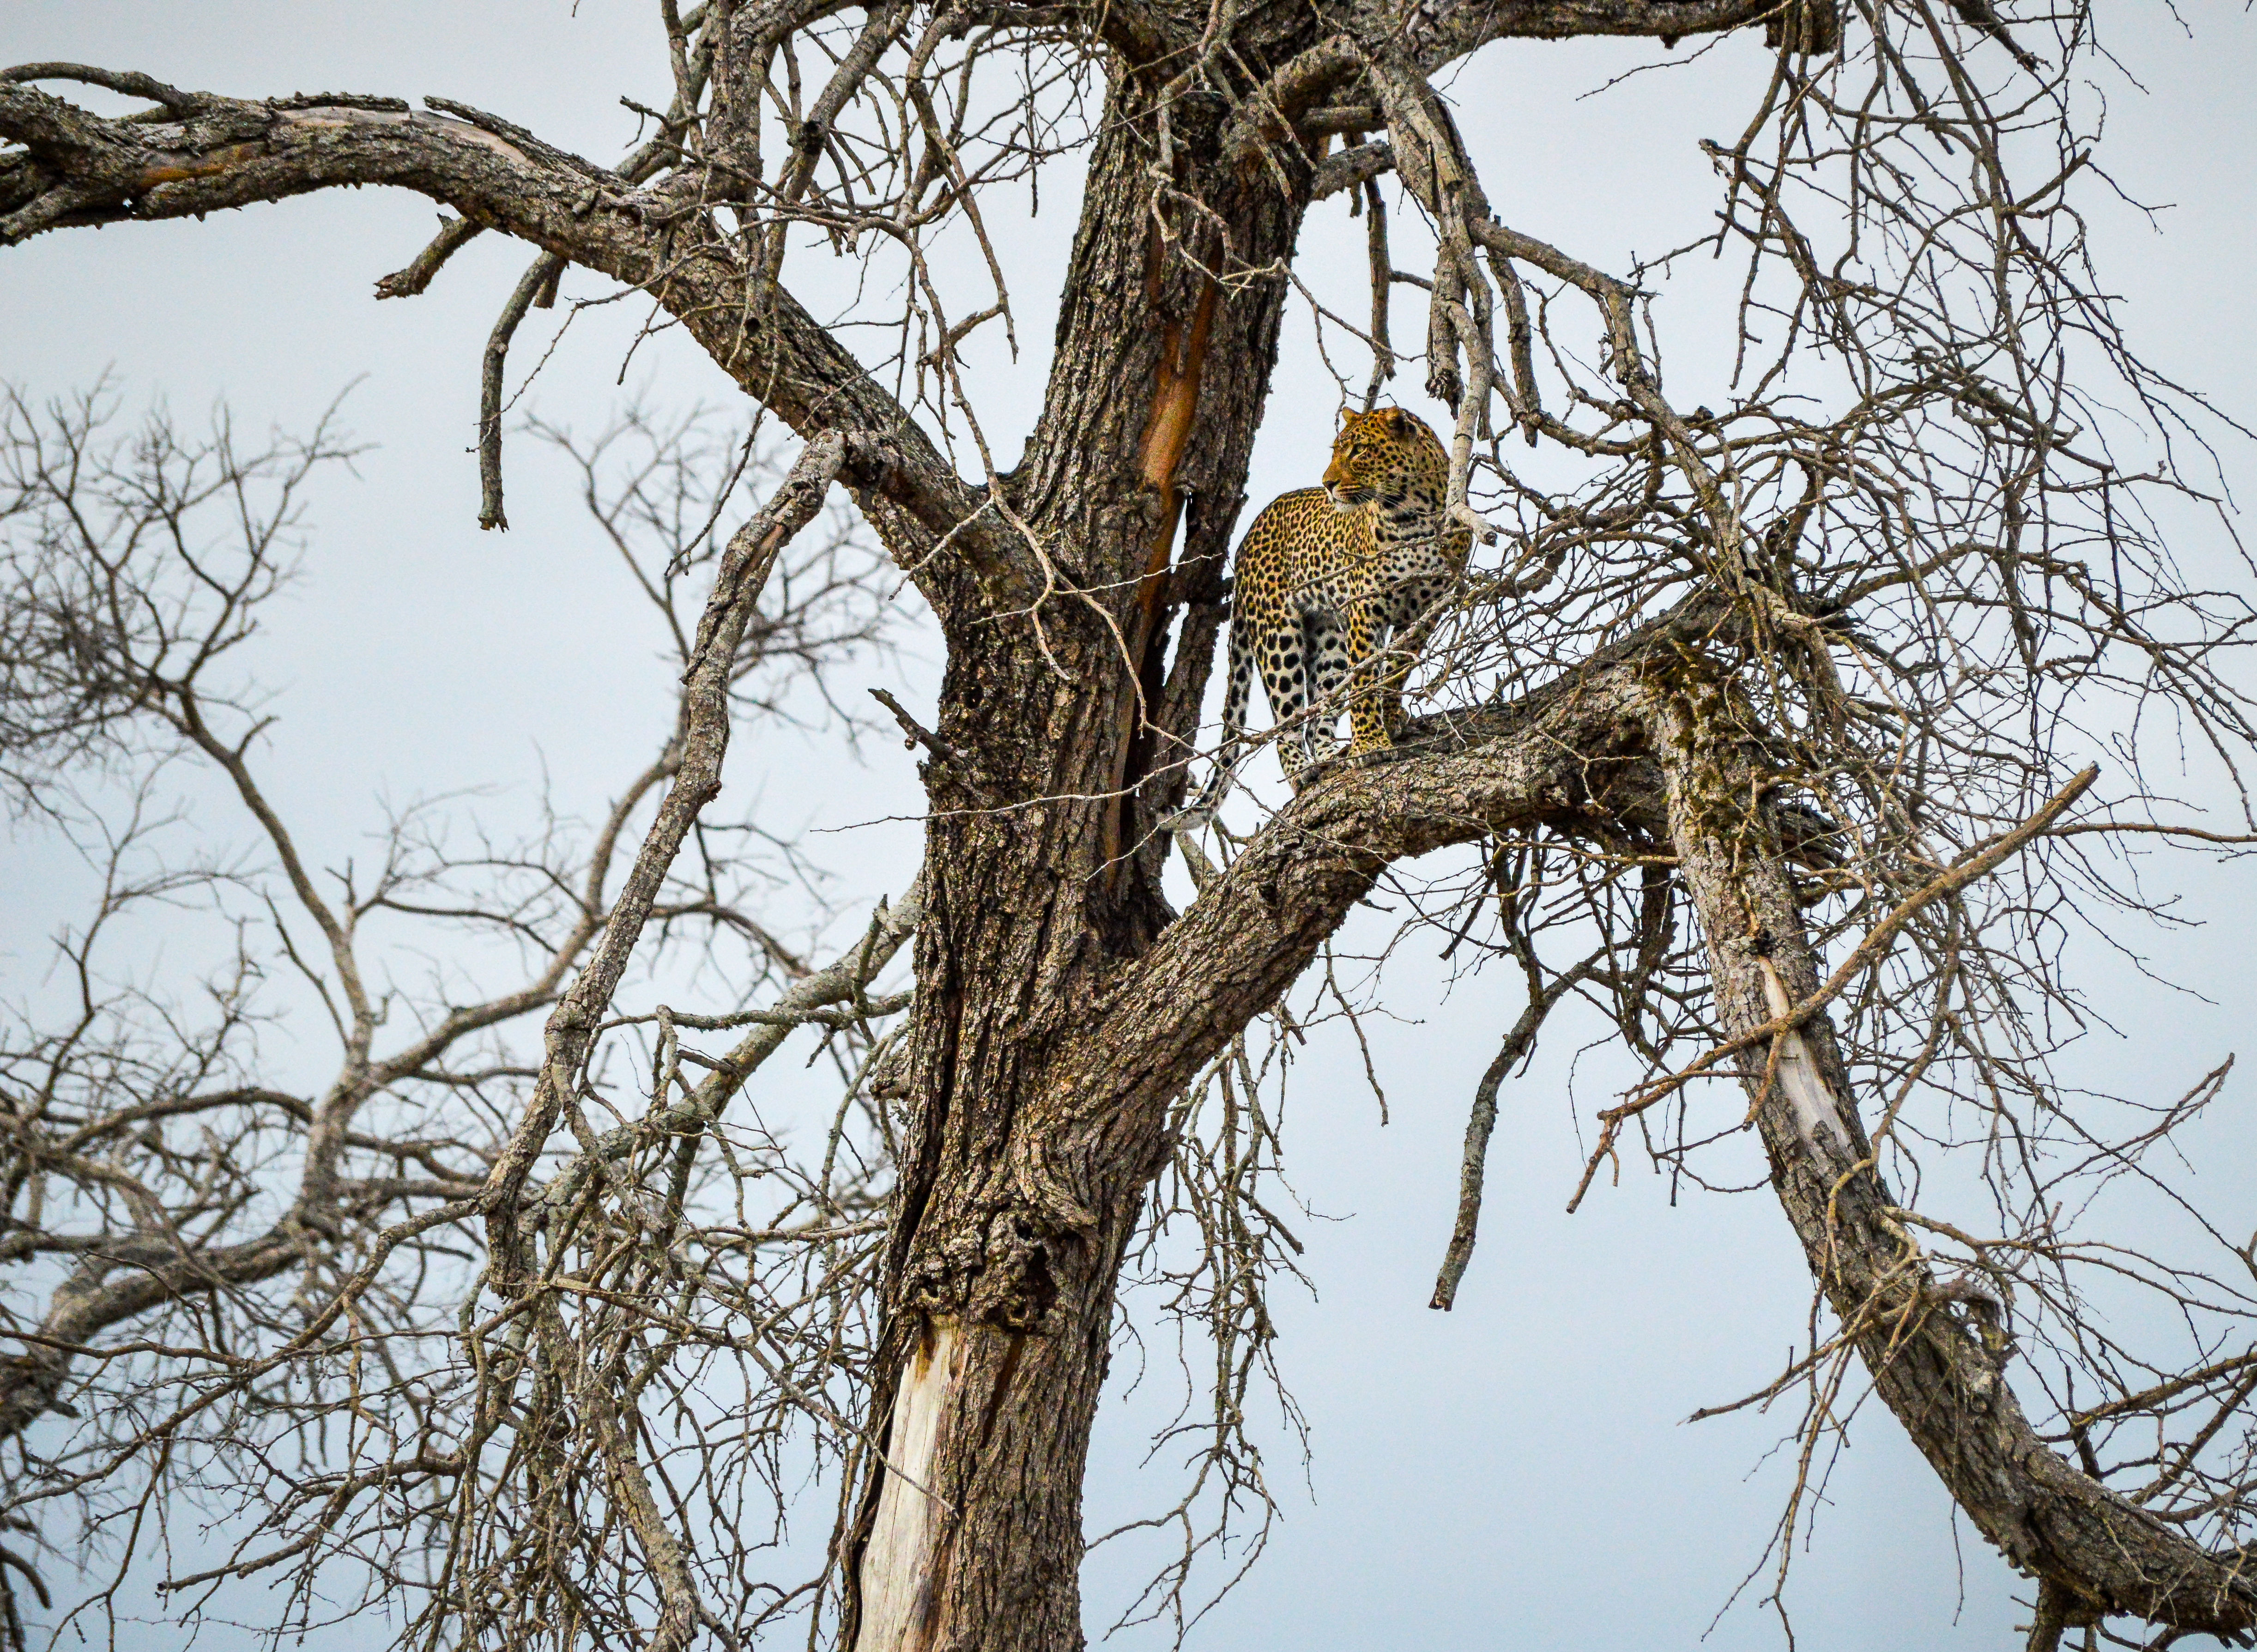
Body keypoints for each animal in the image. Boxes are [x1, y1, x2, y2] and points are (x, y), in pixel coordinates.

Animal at [1191, 405, 1469, 805]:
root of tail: (1245, 540)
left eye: (1359, 450)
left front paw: (1390, 717)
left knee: (1316, 720)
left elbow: (1397, 670)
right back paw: (1301, 771)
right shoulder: (1365, 610)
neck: (1411, 514)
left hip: (1329, 641)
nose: (1327, 484)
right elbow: (1365, 681)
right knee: (1287, 720)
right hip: (1278, 636)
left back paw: (1331, 755)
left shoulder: (1426, 611)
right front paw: (1371, 744)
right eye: (1336, 450)